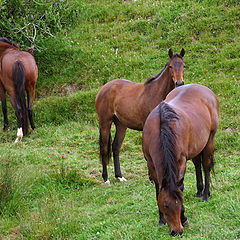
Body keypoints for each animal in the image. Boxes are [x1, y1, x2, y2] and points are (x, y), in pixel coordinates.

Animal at [95, 48, 186, 184]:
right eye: (170, 66)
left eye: (183, 65)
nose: (179, 83)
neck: (156, 93)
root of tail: (103, 88)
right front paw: (152, 178)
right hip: (105, 123)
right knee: (104, 148)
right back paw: (106, 178)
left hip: (121, 125)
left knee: (115, 147)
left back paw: (119, 176)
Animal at [142, 83, 219, 235]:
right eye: (165, 205)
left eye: (181, 202)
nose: (177, 231)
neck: (160, 129)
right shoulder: (150, 163)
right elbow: (158, 190)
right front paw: (161, 220)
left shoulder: (180, 161)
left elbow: (180, 186)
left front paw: (184, 218)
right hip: (196, 147)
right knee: (197, 164)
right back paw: (199, 191)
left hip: (209, 141)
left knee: (206, 166)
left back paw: (206, 194)